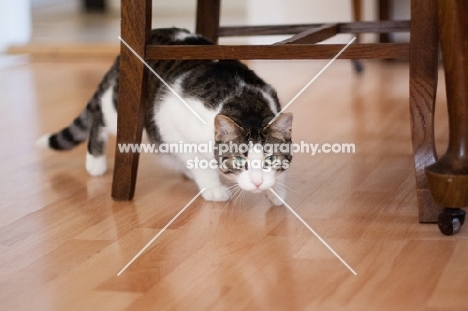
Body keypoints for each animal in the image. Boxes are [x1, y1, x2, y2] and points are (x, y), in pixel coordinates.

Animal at [37, 28, 292, 206]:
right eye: (240, 160)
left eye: (270, 159)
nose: (258, 183)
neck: (246, 104)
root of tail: (120, 57)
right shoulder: (171, 119)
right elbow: (199, 162)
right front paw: (212, 188)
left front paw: (275, 190)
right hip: (120, 107)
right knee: (98, 117)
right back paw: (95, 163)